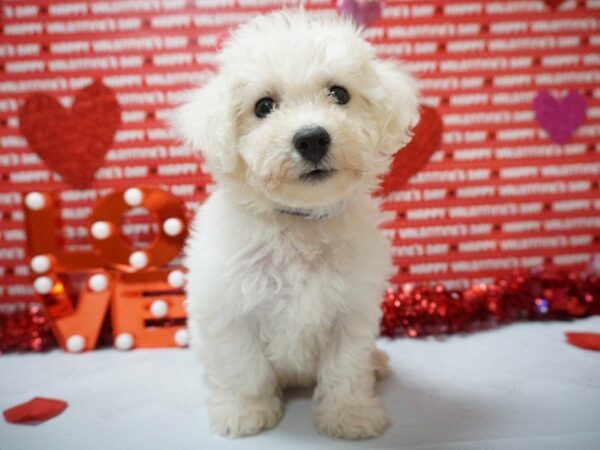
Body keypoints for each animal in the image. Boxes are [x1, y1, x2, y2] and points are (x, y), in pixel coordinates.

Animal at [173, 9, 418, 440]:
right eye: (263, 106)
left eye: (339, 94)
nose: (312, 139)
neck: (299, 221)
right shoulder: (230, 309)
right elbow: (243, 368)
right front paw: (245, 412)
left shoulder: (351, 309)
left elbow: (345, 367)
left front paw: (350, 415)